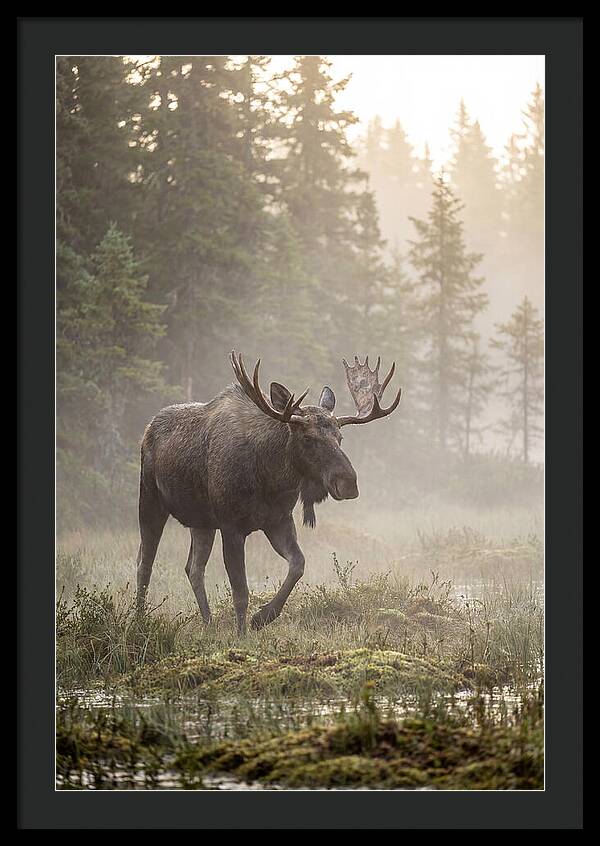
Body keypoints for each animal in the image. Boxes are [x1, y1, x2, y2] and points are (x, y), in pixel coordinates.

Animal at [136, 351, 401, 633]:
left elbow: (298, 565)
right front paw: (242, 634)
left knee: (193, 568)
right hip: (150, 500)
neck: (270, 478)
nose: (349, 483)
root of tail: (148, 428)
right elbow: (241, 591)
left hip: (201, 522)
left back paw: (207, 623)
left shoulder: (278, 520)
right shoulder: (231, 526)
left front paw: (263, 617)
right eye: (308, 438)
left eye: (340, 438)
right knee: (145, 562)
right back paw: (139, 620)